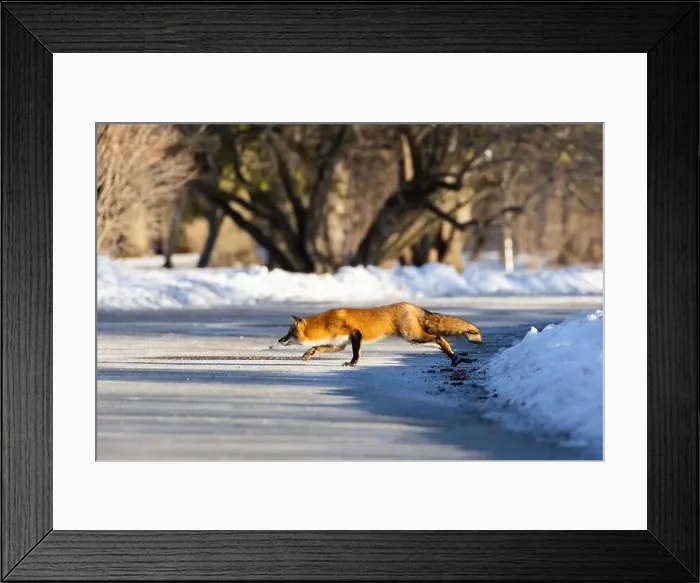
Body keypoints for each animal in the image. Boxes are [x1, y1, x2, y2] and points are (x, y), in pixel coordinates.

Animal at [277, 302, 482, 368]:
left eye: (288, 333)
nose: (279, 340)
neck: (325, 324)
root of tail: (411, 306)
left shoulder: (354, 333)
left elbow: (356, 352)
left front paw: (352, 364)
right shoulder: (339, 344)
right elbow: (317, 347)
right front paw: (307, 354)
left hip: (412, 337)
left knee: (440, 338)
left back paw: (454, 358)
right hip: (415, 339)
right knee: (441, 340)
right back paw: (454, 357)